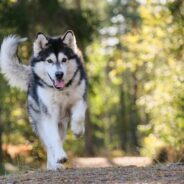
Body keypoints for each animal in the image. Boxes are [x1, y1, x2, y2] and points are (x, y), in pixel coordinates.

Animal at [0, 30, 87, 170]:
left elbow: (79, 116)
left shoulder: (80, 99)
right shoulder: (49, 114)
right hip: (40, 122)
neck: (60, 91)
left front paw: (78, 131)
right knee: (50, 143)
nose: (59, 74)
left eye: (64, 59)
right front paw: (60, 157)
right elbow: (54, 139)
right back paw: (54, 164)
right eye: (49, 61)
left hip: (62, 124)